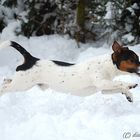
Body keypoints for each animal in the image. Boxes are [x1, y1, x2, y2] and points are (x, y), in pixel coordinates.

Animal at [0, 40, 139, 101]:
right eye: (132, 59)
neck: (108, 64)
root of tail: (32, 59)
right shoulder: (101, 82)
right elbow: (120, 83)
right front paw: (130, 84)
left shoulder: (103, 89)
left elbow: (119, 87)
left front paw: (128, 94)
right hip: (21, 85)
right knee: (4, 87)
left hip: (20, 82)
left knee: (6, 80)